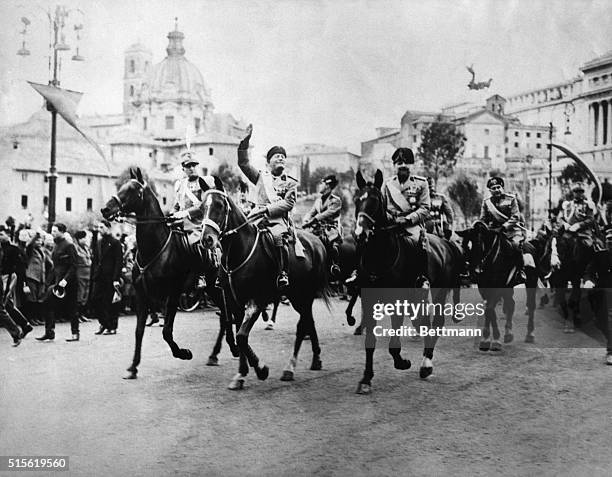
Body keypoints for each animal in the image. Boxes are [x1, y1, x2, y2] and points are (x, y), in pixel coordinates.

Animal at [100, 167, 237, 380]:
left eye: (132, 190)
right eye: (121, 187)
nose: (106, 209)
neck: (155, 248)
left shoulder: (172, 294)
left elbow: (166, 331)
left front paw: (183, 353)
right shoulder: (142, 296)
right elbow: (139, 331)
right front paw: (133, 367)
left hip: (217, 287)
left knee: (226, 315)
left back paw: (228, 348)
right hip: (213, 289)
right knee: (224, 315)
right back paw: (214, 354)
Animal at [196, 184, 330, 388]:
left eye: (220, 206)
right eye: (203, 207)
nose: (207, 240)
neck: (239, 252)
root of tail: (317, 243)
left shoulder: (256, 301)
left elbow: (241, 336)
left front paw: (261, 369)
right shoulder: (234, 302)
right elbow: (238, 333)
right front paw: (241, 373)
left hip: (303, 296)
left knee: (302, 326)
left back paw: (290, 368)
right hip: (298, 296)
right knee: (309, 321)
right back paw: (316, 359)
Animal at [352, 171, 462, 394]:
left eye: (375, 201)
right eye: (356, 200)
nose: (360, 234)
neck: (380, 255)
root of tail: (445, 242)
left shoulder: (397, 302)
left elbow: (394, 342)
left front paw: (401, 362)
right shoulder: (369, 300)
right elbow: (370, 340)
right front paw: (366, 378)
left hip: (439, 291)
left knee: (436, 323)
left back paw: (426, 364)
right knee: (425, 322)